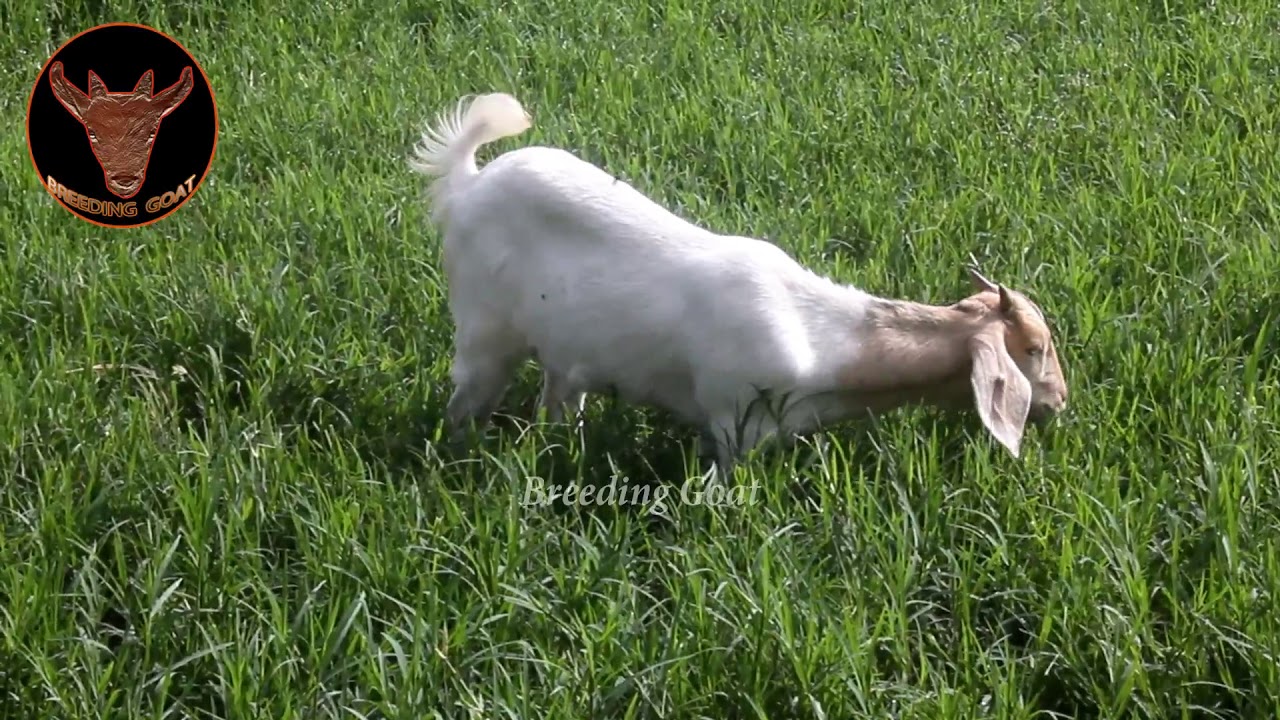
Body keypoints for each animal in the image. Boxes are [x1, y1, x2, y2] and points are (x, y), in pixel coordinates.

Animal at [407, 92, 1069, 475]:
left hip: (565, 348)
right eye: (1034, 349)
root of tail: (467, 182)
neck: (820, 340)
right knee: (466, 402)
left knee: (557, 398)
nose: (1060, 401)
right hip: (483, 331)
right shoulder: (730, 419)